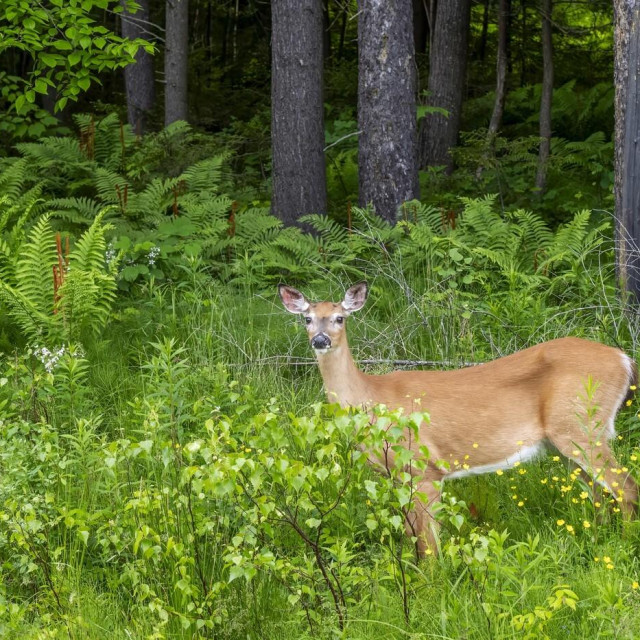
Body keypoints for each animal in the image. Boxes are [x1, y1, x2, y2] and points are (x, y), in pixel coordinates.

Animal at [280, 280, 640, 556]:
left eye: (340, 318)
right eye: (307, 319)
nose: (321, 340)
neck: (374, 401)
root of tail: (624, 359)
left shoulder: (425, 469)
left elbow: (429, 545)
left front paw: (430, 590)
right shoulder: (399, 476)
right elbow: (412, 537)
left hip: (583, 426)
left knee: (626, 488)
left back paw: (623, 546)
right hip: (564, 441)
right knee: (598, 496)